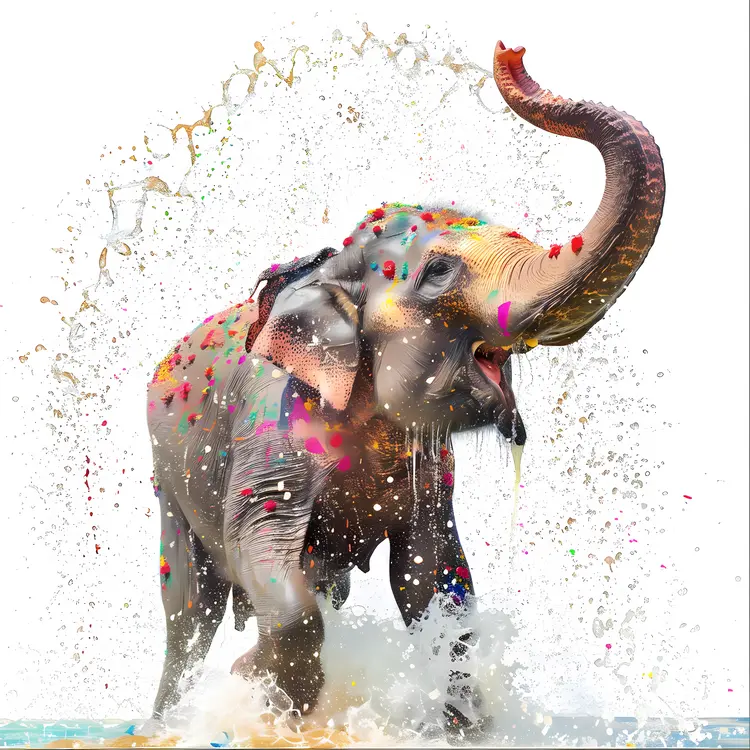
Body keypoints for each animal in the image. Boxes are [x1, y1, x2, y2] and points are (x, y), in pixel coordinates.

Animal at [144, 39, 665, 737]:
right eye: (440, 271)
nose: (511, 49)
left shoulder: (430, 469)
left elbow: (432, 575)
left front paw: (466, 726)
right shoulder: (271, 425)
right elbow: (261, 541)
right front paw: (260, 689)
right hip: (168, 482)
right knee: (189, 614)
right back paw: (169, 721)